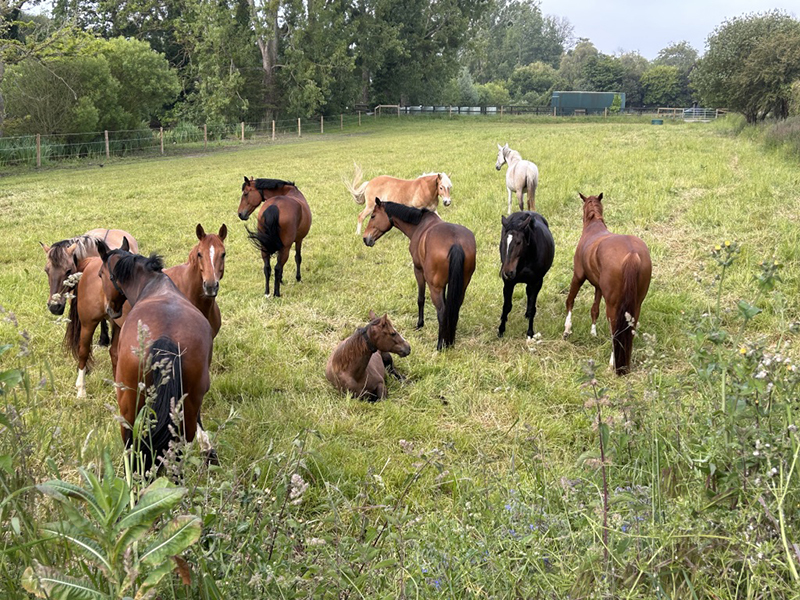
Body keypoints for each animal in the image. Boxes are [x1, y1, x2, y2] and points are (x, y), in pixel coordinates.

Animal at [97, 238, 215, 473]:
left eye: (100, 275)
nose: (110, 310)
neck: (154, 285)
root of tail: (165, 340)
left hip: (128, 409)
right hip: (185, 412)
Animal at [362, 199, 476, 350]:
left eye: (373, 216)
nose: (365, 238)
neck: (420, 224)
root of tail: (456, 243)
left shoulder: (418, 270)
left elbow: (420, 299)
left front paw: (419, 324)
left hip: (434, 287)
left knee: (441, 312)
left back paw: (439, 346)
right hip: (462, 286)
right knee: (453, 309)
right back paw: (450, 342)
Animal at [498, 211, 555, 339]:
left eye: (519, 242)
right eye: (503, 242)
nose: (507, 272)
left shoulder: (536, 282)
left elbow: (532, 308)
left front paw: (530, 332)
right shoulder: (508, 282)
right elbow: (506, 306)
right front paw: (501, 330)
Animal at [563, 193, 652, 375]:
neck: (593, 227)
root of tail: (632, 253)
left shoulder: (578, 276)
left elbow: (570, 301)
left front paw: (567, 329)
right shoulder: (598, 287)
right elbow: (594, 310)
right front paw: (593, 333)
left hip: (613, 304)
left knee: (615, 329)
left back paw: (613, 363)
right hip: (636, 304)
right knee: (629, 329)